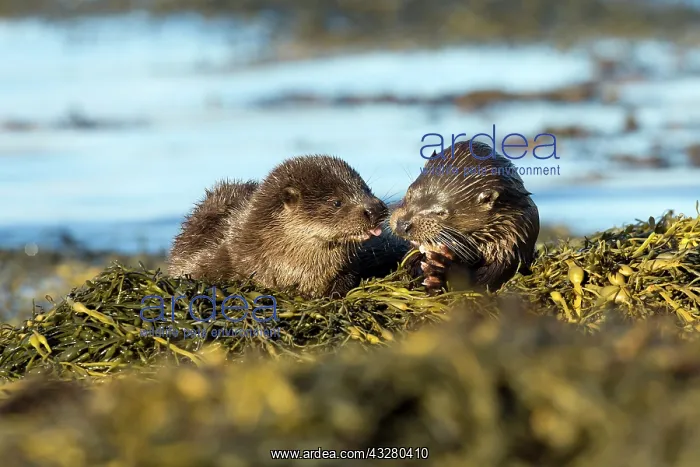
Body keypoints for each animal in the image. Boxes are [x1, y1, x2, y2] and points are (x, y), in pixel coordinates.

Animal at [389, 140, 539, 293]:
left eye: (441, 213)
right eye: (409, 193)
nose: (403, 224)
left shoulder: (513, 244)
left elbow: (484, 279)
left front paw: (443, 270)